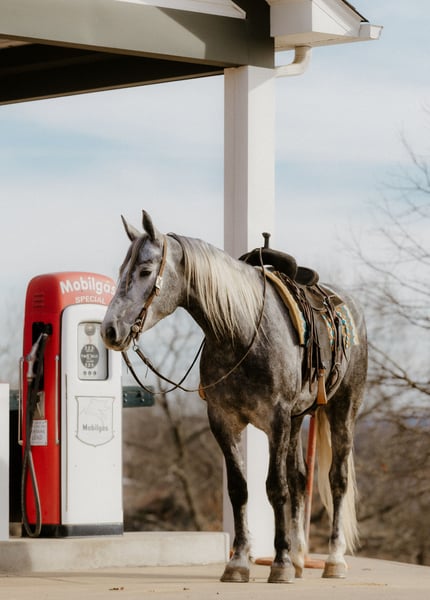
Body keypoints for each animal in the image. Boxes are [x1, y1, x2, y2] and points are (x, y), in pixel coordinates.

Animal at [101, 210, 368, 584]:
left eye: (144, 271)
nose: (110, 330)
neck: (241, 334)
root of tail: (349, 307)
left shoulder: (276, 420)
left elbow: (275, 488)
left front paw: (280, 565)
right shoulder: (224, 420)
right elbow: (240, 489)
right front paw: (240, 563)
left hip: (343, 409)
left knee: (337, 480)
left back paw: (333, 560)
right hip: (299, 418)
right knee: (301, 479)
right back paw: (300, 558)